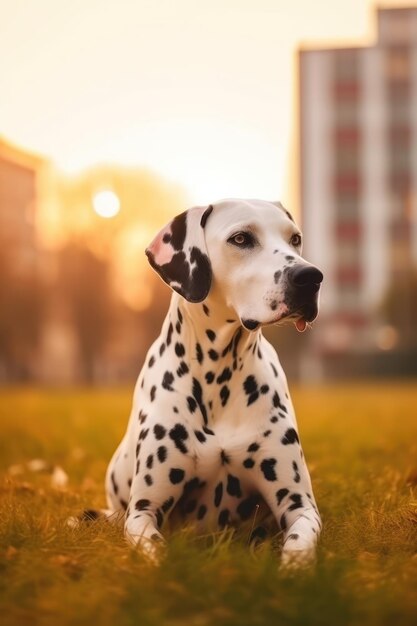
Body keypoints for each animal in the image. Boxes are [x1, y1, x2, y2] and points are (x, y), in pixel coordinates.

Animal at [103, 199, 322, 564]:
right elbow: (154, 550)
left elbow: (298, 544)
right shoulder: (142, 512)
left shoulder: (300, 506)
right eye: (241, 238)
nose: (311, 277)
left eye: (295, 239)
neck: (219, 375)